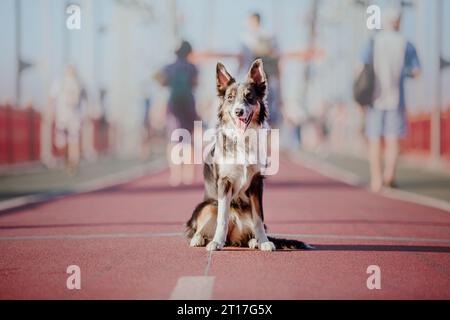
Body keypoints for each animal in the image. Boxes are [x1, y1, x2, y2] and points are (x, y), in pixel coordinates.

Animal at [185, 58, 312, 251]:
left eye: (249, 96)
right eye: (230, 98)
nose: (239, 111)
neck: (242, 140)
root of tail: (231, 239)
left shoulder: (256, 183)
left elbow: (259, 218)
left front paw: (264, 241)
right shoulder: (224, 182)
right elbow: (222, 217)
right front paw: (216, 242)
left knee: (250, 231)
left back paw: (254, 242)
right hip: (208, 206)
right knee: (201, 226)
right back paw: (201, 239)